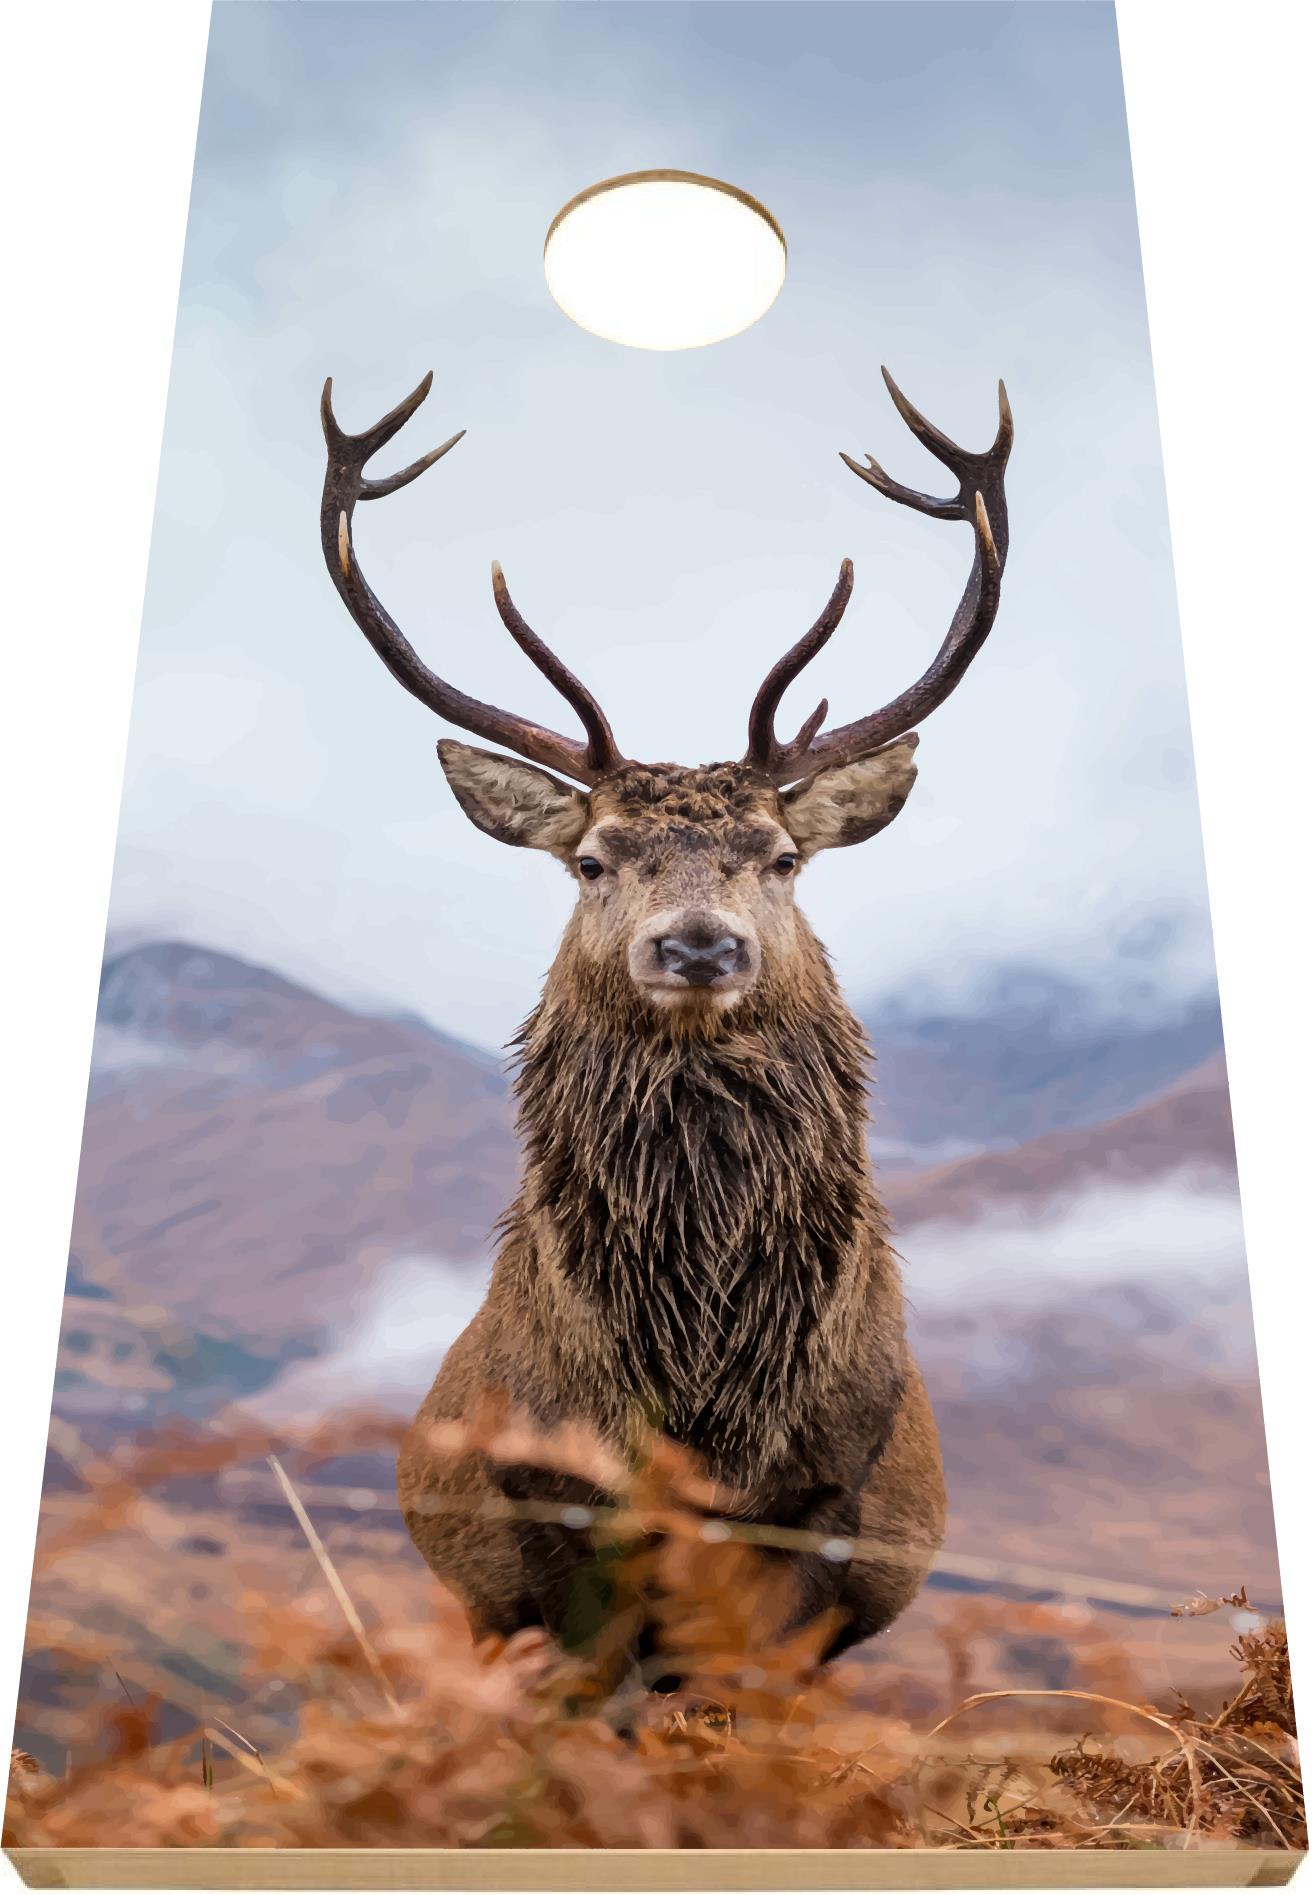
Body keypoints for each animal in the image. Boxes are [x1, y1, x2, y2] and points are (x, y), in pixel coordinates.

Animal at [319, 365, 1012, 1674]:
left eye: (783, 857)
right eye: (592, 859)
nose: (697, 943)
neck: (701, 1396)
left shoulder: (817, 1514)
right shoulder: (545, 1519)